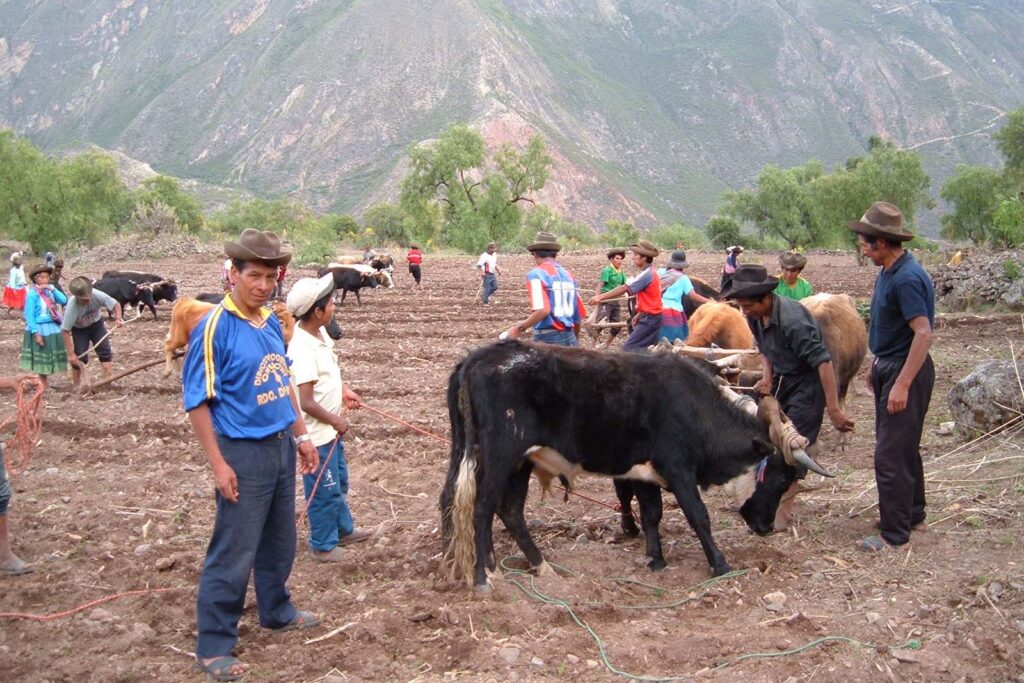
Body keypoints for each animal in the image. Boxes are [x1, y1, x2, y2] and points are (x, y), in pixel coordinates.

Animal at [440, 344, 831, 589]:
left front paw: (656, 559)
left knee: (489, 506)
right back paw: (482, 576)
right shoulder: (679, 470)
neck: (695, 407)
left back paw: (526, 565)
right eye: (783, 476)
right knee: (482, 508)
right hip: (500, 456)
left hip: (506, 459)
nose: (766, 528)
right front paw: (720, 564)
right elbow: (698, 516)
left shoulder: (645, 475)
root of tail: (479, 358)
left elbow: (651, 514)